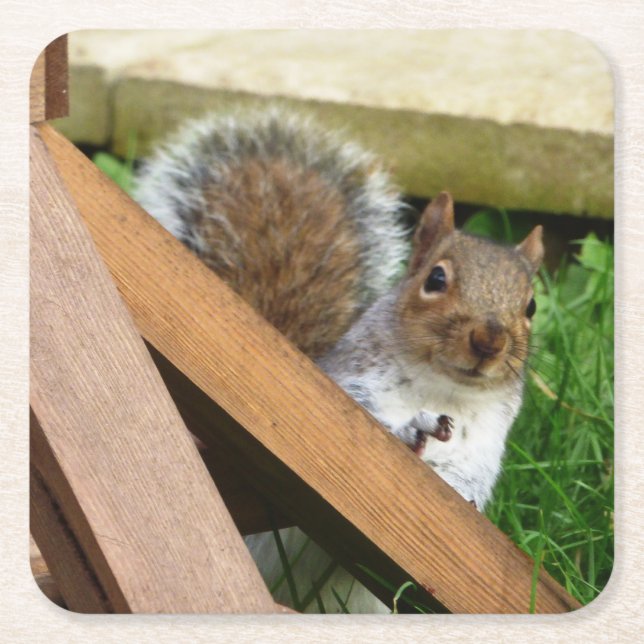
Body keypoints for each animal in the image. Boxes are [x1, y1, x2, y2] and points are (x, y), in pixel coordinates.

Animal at [134, 108, 544, 613]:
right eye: (435, 278)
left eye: (531, 306)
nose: (490, 340)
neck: (444, 389)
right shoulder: (346, 397)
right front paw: (413, 430)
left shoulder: (484, 446)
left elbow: (468, 486)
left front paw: (463, 496)